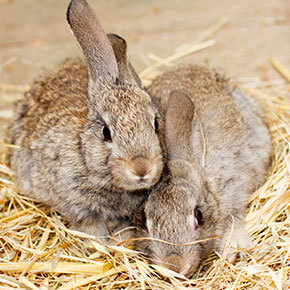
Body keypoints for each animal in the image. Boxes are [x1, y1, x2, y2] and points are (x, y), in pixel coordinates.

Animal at [8, 0, 163, 239]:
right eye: (106, 133)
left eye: (155, 124)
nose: (141, 168)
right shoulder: (79, 206)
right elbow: (92, 227)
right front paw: (100, 241)